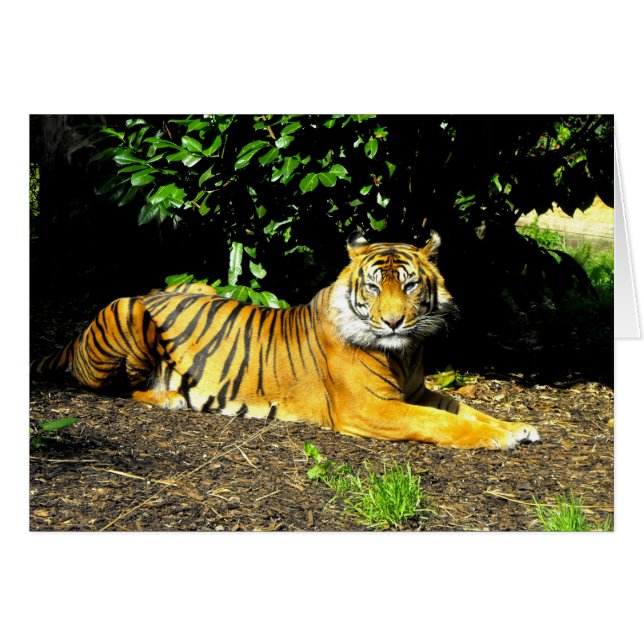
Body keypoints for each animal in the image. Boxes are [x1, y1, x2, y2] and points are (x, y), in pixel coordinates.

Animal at [32, 231, 539, 449]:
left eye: (411, 285)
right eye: (375, 288)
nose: (395, 322)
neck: (406, 353)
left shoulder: (417, 391)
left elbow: (467, 410)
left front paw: (518, 426)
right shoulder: (371, 408)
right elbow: (441, 423)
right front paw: (501, 439)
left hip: (198, 284)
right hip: (127, 308)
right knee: (115, 388)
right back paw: (172, 399)